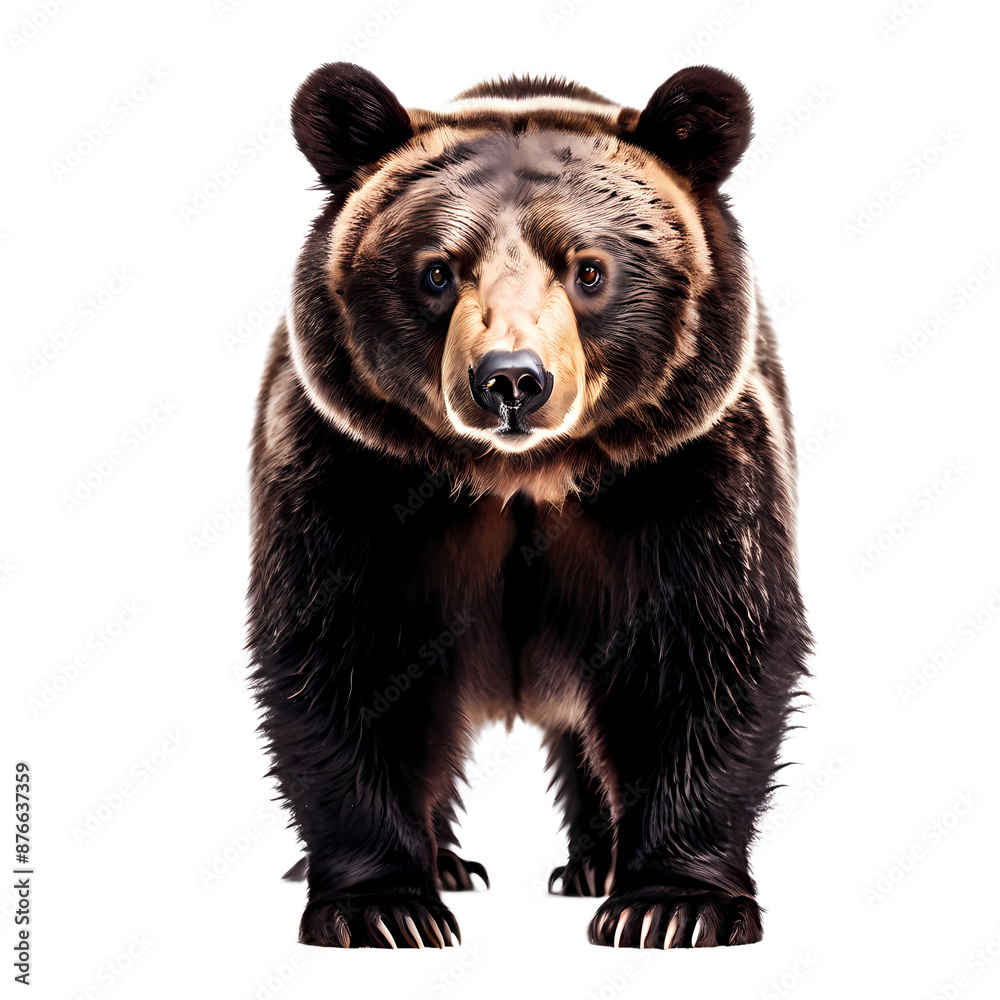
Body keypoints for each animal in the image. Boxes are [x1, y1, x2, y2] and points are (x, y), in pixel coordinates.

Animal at [246, 61, 811, 950]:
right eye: (438, 270)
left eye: (589, 270)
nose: (511, 380)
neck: (525, 477)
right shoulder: (351, 472)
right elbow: (344, 655)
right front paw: (386, 906)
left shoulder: (689, 471)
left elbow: (708, 653)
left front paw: (672, 905)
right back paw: (450, 864)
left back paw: (593, 865)